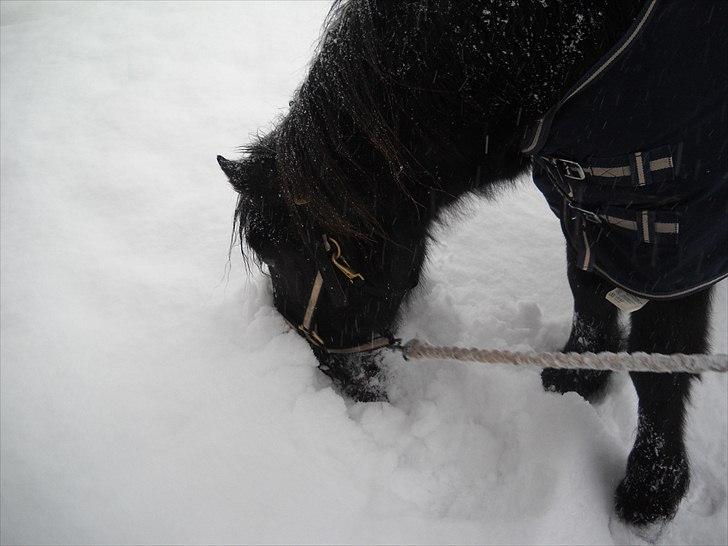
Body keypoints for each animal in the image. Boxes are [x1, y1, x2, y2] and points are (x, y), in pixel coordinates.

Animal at [219, 1, 724, 528]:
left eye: (304, 259)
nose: (335, 375)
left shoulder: (668, 231)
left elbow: (660, 361)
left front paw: (652, 489)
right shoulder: (585, 202)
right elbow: (587, 291)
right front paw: (577, 378)